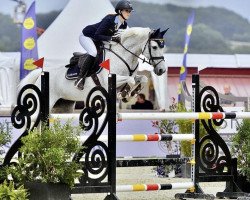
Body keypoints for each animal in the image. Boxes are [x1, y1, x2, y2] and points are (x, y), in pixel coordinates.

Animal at [18, 27, 168, 112]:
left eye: (163, 47)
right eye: (155, 47)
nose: (162, 70)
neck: (123, 56)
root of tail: (41, 74)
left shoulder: (133, 76)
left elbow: (142, 78)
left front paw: (130, 94)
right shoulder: (110, 80)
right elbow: (130, 80)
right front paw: (125, 94)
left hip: (63, 106)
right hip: (46, 102)